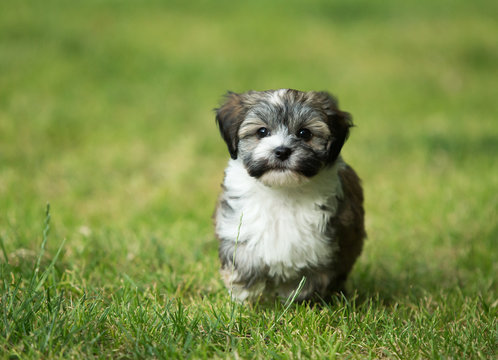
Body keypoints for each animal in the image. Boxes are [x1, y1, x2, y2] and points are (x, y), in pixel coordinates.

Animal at [214, 88, 366, 302]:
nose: (282, 151)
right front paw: (242, 299)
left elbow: (307, 279)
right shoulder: (238, 225)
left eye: (304, 133)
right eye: (262, 132)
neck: (283, 190)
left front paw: (297, 301)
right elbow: (243, 258)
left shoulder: (322, 246)